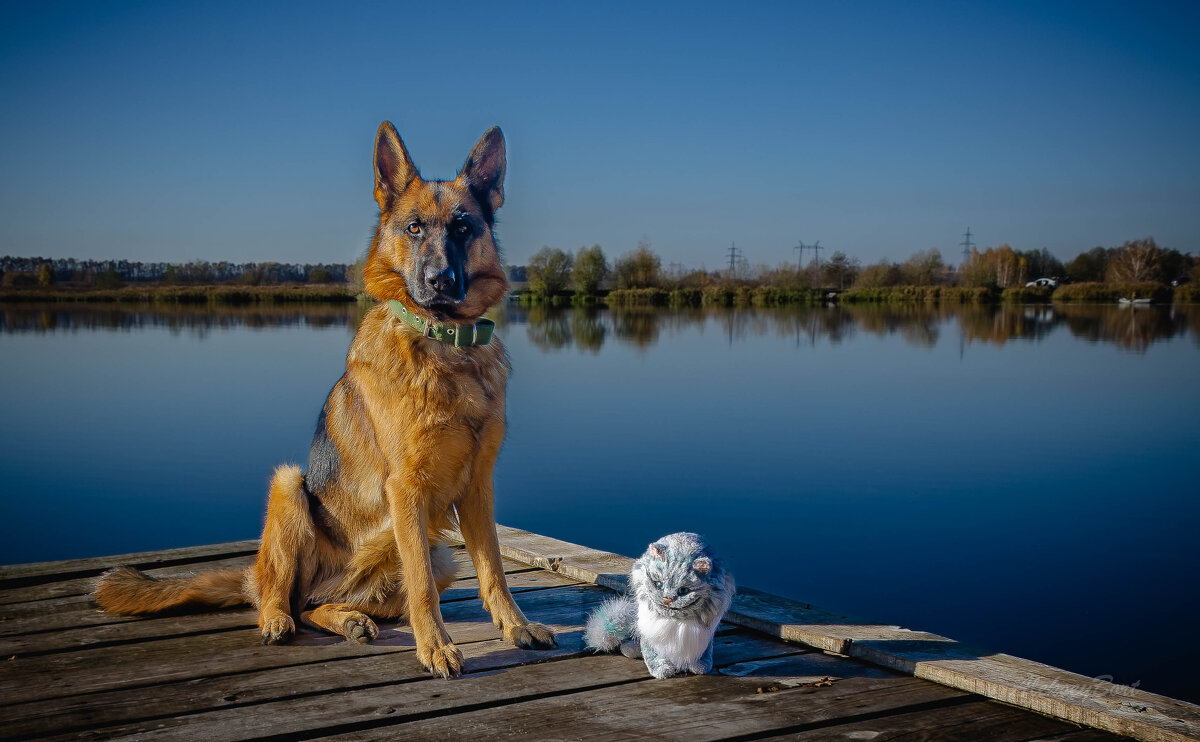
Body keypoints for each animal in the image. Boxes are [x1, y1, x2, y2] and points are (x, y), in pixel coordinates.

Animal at [94, 121, 556, 677]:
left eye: (464, 228)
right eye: (414, 229)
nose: (440, 281)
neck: (445, 345)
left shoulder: (478, 489)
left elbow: (493, 571)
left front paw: (516, 627)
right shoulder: (407, 488)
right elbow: (422, 587)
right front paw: (436, 647)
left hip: (438, 554)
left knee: (320, 604)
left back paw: (351, 620)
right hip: (290, 486)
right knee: (287, 598)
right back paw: (279, 619)